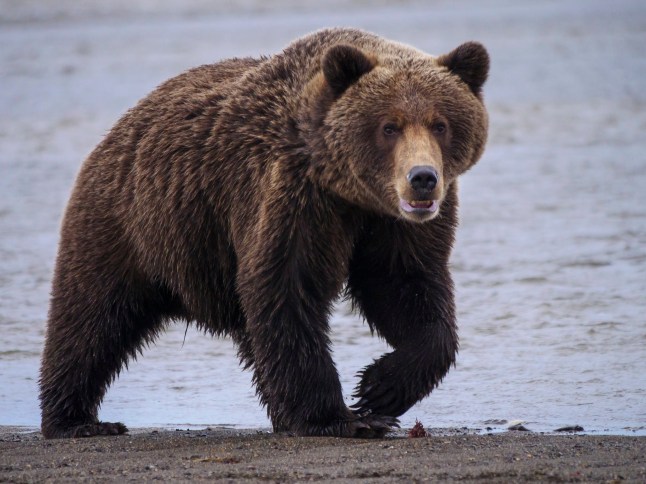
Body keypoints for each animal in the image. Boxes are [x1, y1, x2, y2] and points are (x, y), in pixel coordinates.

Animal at [38, 28, 488, 440]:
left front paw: (381, 388)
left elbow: (404, 285)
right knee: (92, 318)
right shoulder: (290, 196)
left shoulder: (392, 225)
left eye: (440, 124)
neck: (349, 192)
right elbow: (286, 289)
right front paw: (343, 417)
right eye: (389, 126)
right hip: (130, 225)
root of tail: (118, 128)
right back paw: (76, 420)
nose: (422, 179)